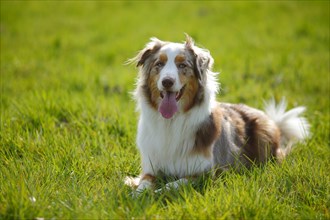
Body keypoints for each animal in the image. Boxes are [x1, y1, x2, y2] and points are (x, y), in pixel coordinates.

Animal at [125, 34, 310, 194]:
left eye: (182, 65)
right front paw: (137, 194)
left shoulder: (206, 174)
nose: (167, 82)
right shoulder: (151, 167)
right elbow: (144, 183)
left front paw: (156, 193)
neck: (171, 122)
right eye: (159, 64)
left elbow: (174, 184)